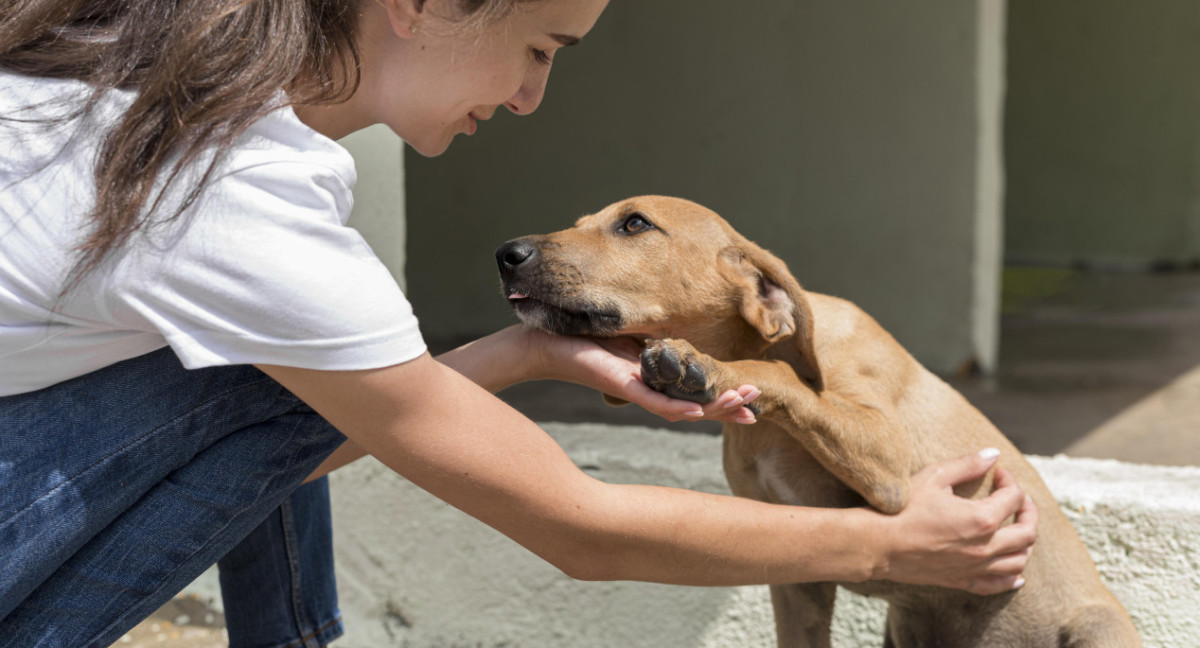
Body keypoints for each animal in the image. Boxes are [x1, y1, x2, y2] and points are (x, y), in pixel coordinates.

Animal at [496, 195, 1142, 648]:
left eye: (634, 224)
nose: (506, 254)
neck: (763, 431)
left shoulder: (889, 464)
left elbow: (777, 375)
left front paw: (702, 368)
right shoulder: (795, 572)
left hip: (1097, 627)